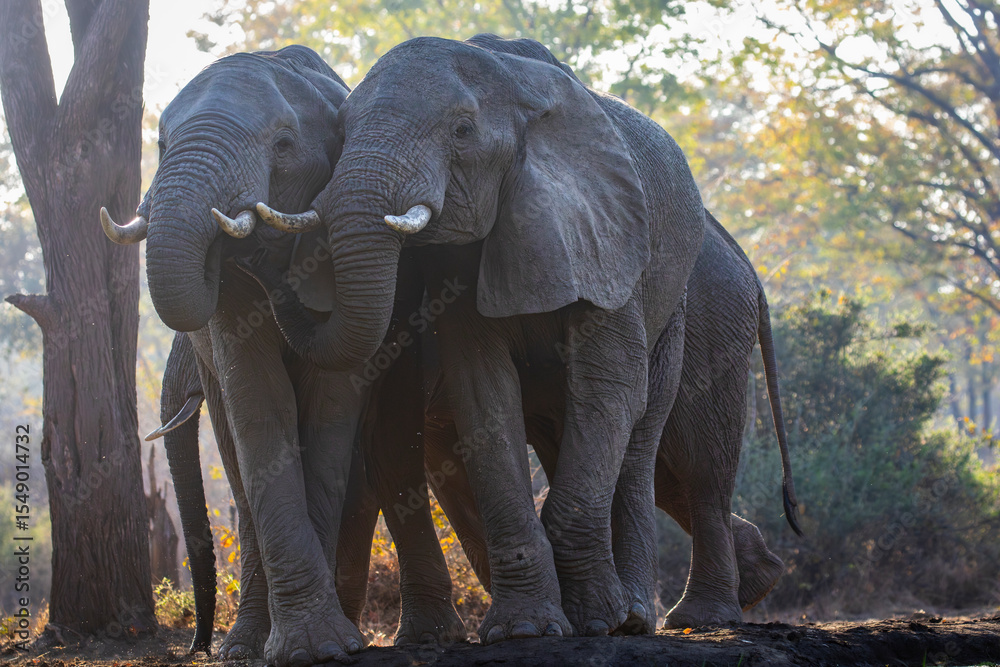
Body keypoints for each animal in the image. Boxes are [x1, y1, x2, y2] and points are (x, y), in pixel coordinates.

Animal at [101, 46, 463, 665]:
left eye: (284, 145)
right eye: (162, 144)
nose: (193, 646)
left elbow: (330, 405)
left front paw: (324, 647)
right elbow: (258, 403)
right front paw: (310, 645)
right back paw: (242, 646)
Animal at [249, 34, 709, 641]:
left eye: (462, 132)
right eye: (343, 131)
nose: (257, 254)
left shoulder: (608, 240)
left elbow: (609, 387)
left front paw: (592, 620)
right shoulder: (458, 263)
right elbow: (483, 390)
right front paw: (527, 629)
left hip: (671, 302)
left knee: (637, 436)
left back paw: (632, 617)